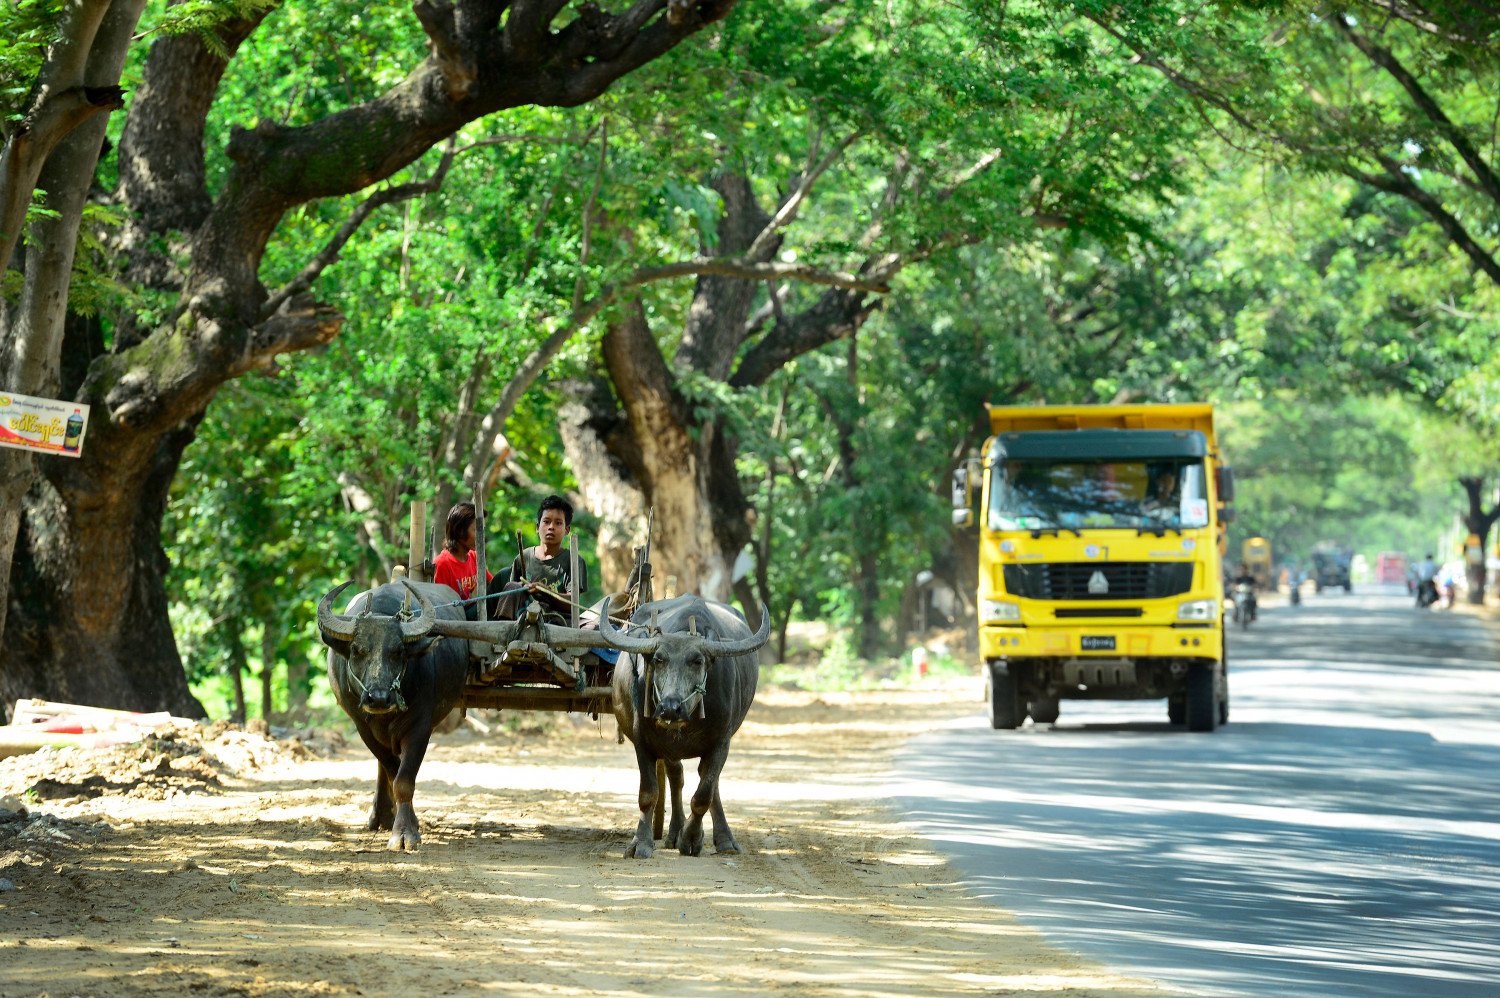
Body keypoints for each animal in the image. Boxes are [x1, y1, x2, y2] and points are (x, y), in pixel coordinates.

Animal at [319, 576, 471, 846]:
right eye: (357, 650)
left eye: (398, 651)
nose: (379, 698)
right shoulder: (362, 727)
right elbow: (391, 770)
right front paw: (405, 823)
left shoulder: (421, 727)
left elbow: (404, 780)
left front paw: (405, 832)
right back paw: (380, 815)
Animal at [600, 591, 774, 858]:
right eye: (658, 660)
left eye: (697, 661)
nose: (671, 708)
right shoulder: (643, 742)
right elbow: (648, 794)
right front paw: (641, 843)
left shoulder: (721, 742)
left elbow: (704, 794)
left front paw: (691, 839)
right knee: (677, 776)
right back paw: (674, 832)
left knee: (708, 782)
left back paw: (724, 840)